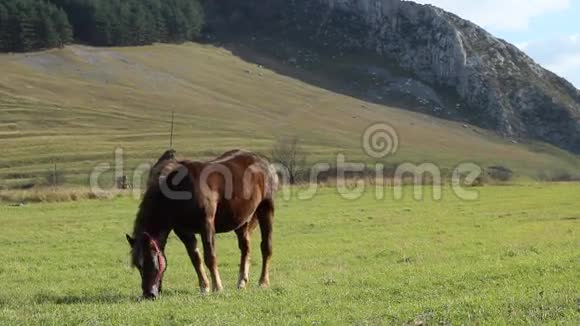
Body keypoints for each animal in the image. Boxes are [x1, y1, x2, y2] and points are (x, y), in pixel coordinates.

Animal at [126, 150, 278, 298]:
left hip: (265, 209)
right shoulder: (183, 231)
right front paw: (204, 287)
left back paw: (263, 282)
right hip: (242, 222)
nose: (148, 294)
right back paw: (241, 282)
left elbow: (210, 257)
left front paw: (218, 287)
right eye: (138, 265)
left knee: (266, 247)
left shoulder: (207, 225)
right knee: (245, 248)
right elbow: (195, 258)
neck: (181, 190)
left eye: (150, 261)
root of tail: (263, 162)